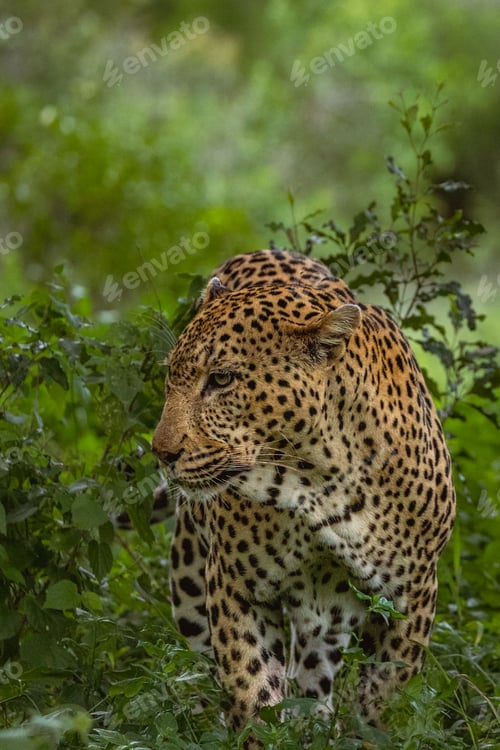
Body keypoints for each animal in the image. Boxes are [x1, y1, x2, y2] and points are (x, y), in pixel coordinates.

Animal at [152, 248, 455, 739]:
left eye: (221, 379)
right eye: (171, 377)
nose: (162, 452)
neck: (318, 480)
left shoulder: (412, 596)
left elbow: (382, 703)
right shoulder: (235, 589)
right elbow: (255, 695)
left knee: (314, 677)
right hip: (190, 586)